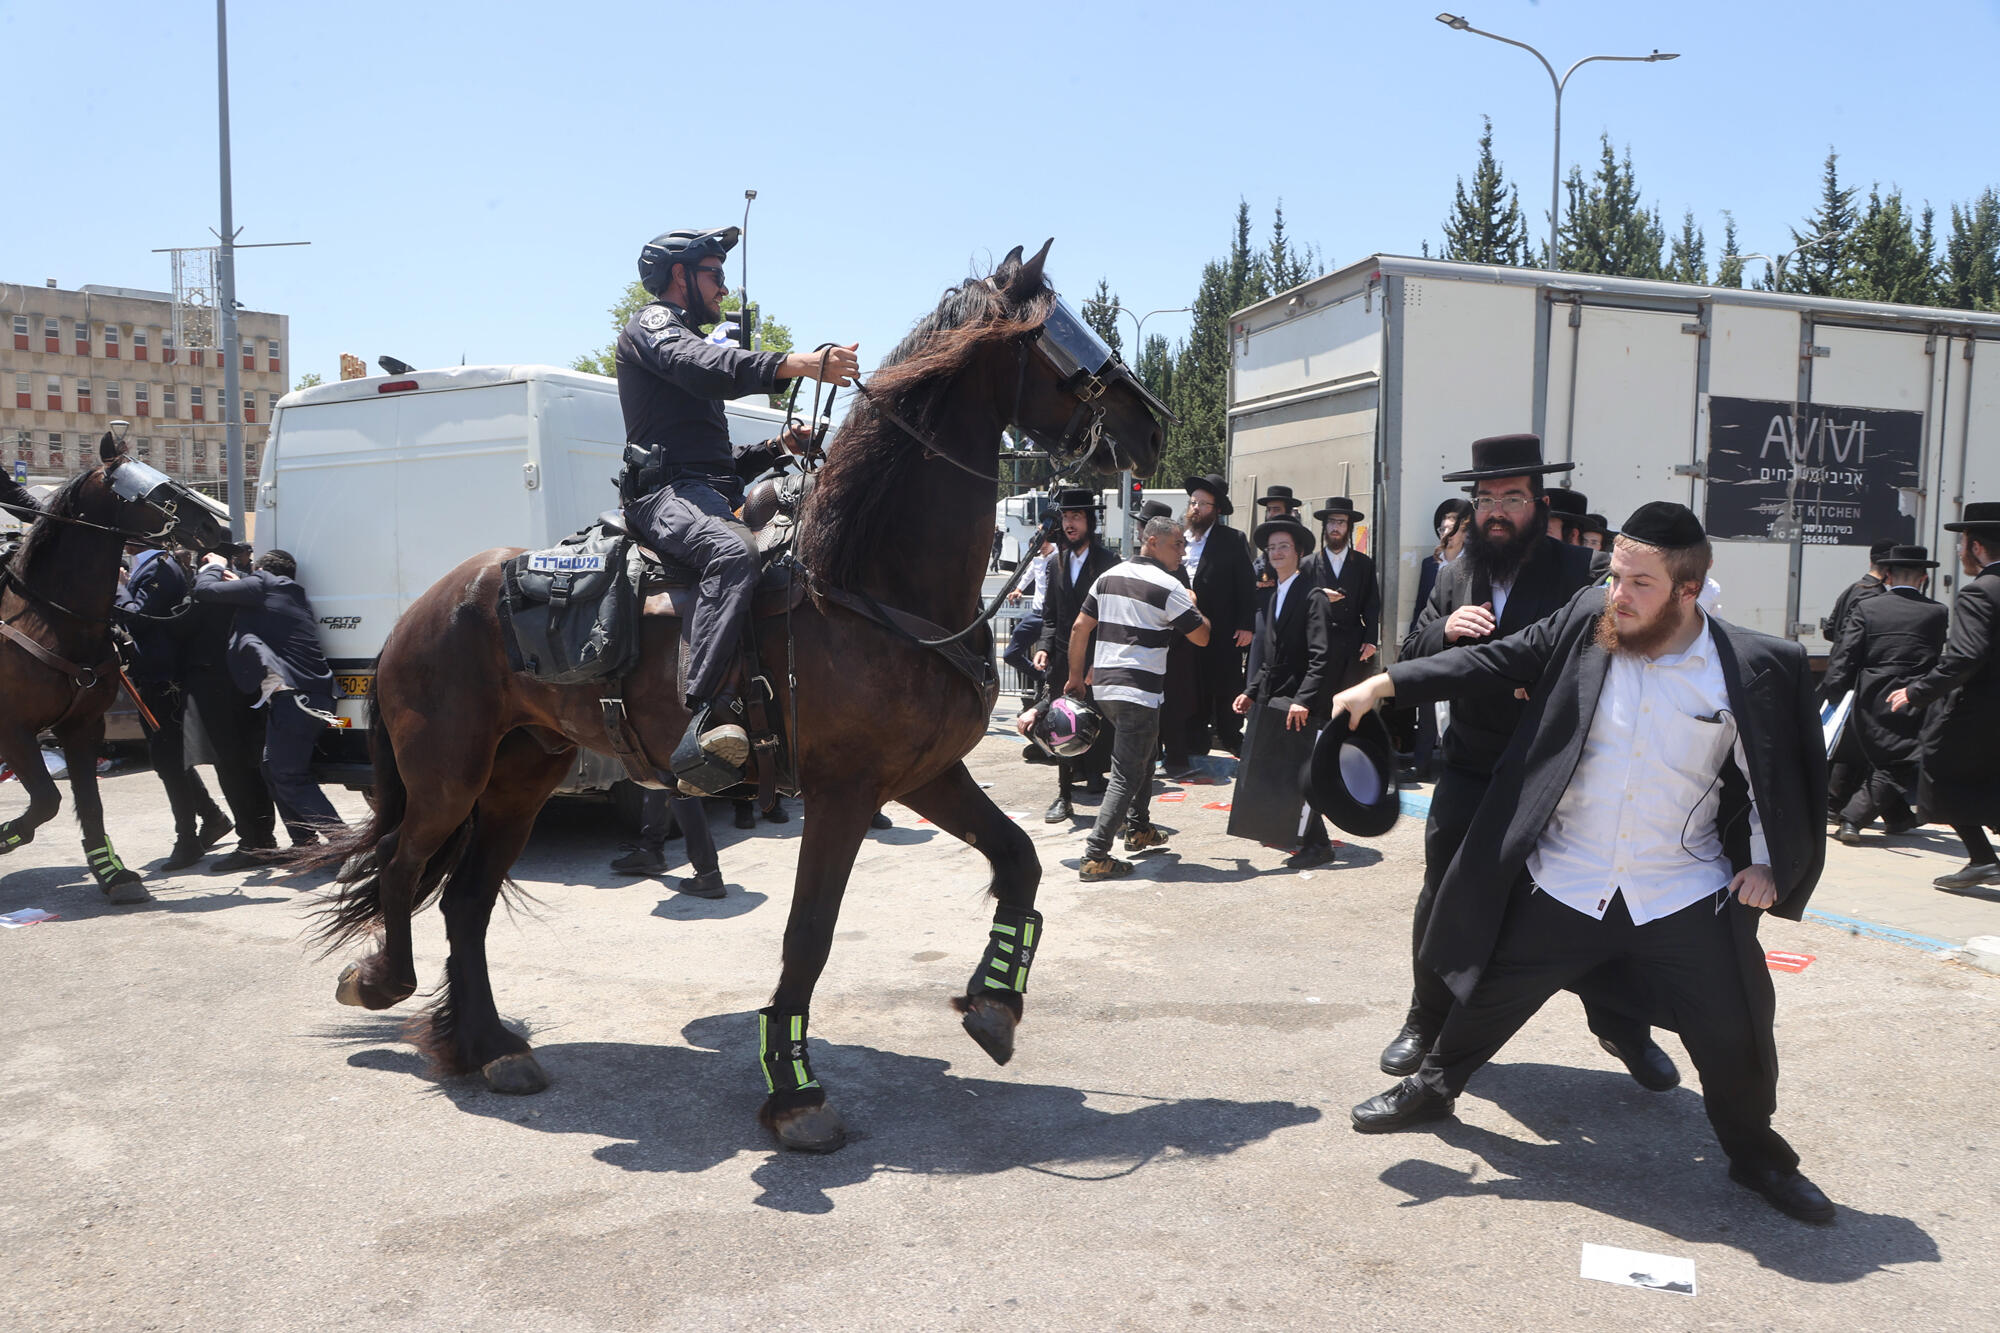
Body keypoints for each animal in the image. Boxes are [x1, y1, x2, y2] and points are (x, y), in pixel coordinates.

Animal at [0, 430, 228, 896]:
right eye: (157, 492)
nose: (214, 527)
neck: (50, 618)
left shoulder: (81, 725)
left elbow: (88, 802)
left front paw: (112, 874)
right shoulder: (12, 728)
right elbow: (48, 799)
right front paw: (7, 835)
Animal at [304, 244, 1168, 1144]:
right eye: (1067, 343)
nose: (1154, 428)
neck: (867, 582)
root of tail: (421, 607)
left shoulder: (925, 775)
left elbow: (1019, 859)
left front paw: (995, 1001)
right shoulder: (844, 792)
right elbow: (808, 935)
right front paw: (794, 1089)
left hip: (519, 778)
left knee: (466, 901)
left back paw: (488, 1046)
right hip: (448, 776)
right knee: (402, 866)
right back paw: (383, 982)